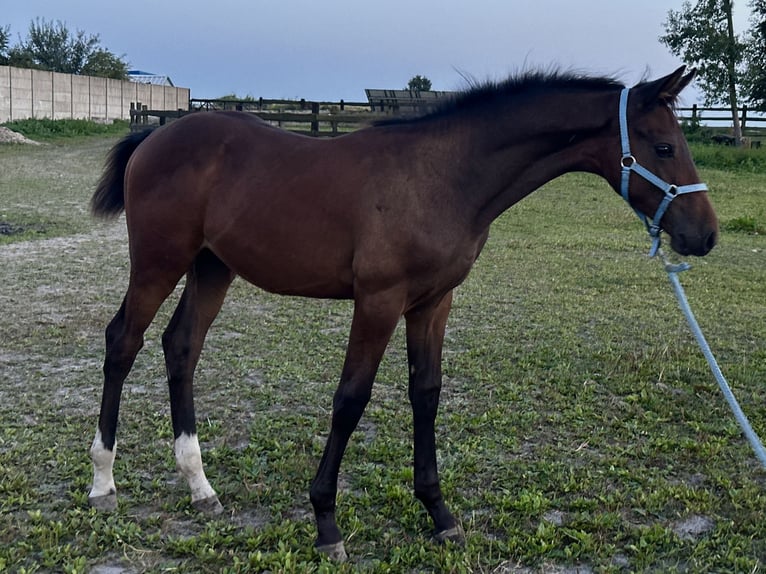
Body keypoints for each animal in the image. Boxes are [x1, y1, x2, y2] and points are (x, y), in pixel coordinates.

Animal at [87, 66, 718, 560]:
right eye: (663, 147)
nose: (705, 235)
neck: (443, 176)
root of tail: (155, 136)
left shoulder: (432, 303)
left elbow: (426, 394)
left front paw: (439, 514)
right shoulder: (379, 301)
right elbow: (351, 399)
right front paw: (326, 523)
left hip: (212, 267)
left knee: (181, 347)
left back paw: (200, 486)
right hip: (158, 262)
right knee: (123, 342)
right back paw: (103, 481)